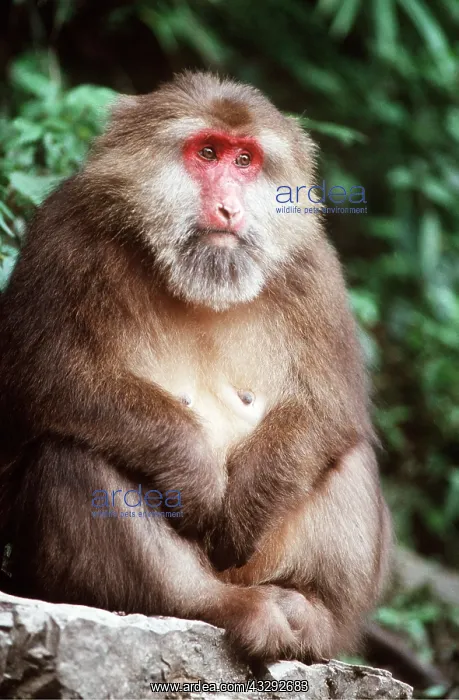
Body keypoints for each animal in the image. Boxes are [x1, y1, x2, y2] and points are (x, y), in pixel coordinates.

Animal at [0, 71, 391, 663]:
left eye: (245, 160)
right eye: (207, 153)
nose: (230, 207)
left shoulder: (312, 267)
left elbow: (330, 407)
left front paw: (246, 508)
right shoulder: (67, 235)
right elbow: (44, 380)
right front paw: (195, 476)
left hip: (261, 564)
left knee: (344, 454)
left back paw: (310, 610)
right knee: (71, 452)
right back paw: (212, 605)